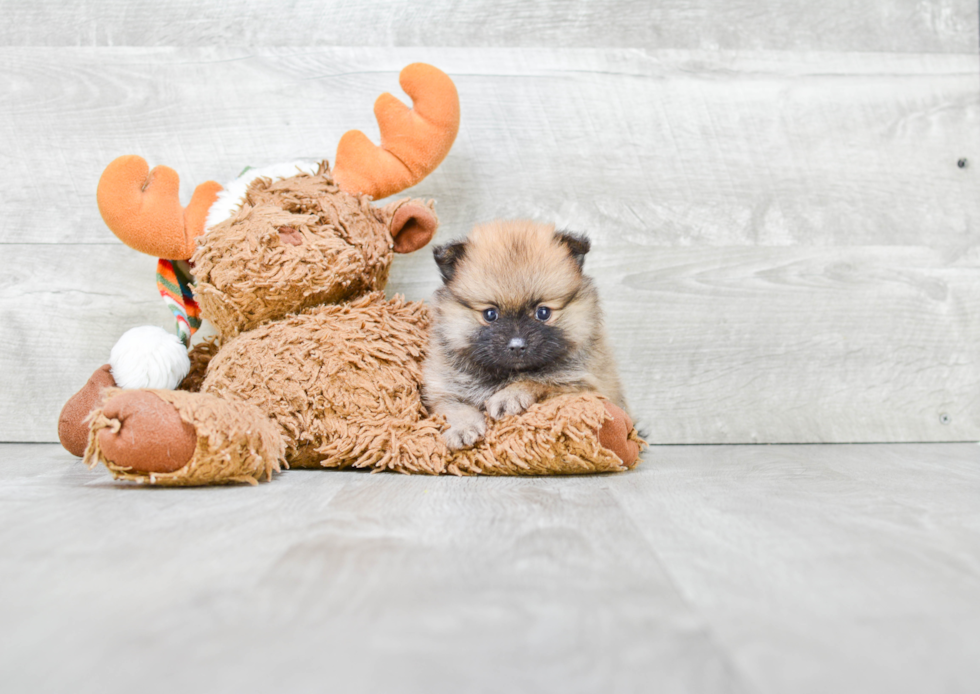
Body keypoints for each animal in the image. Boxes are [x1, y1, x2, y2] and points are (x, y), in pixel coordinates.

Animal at [424, 219, 624, 452]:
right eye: (490, 314)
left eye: (543, 313)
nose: (517, 346)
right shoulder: (443, 390)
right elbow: (453, 407)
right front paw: (463, 428)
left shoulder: (585, 386)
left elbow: (538, 381)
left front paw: (510, 396)